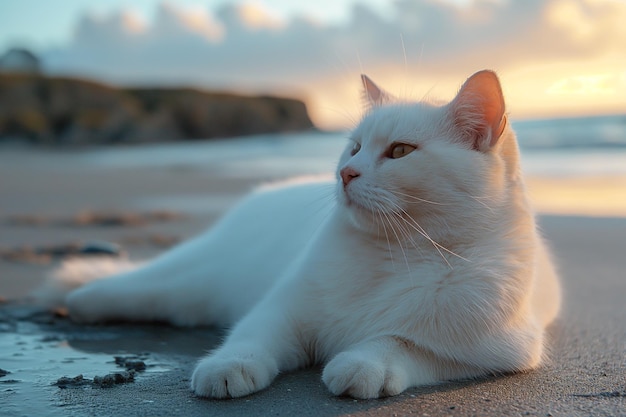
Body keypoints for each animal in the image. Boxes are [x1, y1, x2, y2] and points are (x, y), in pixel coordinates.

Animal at [40, 70, 560, 398]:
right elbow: (255, 335)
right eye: (353, 147)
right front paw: (229, 368)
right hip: (190, 279)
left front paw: (363, 366)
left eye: (400, 151)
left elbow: (401, 344)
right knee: (139, 286)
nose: (346, 173)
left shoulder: (492, 351)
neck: (394, 255)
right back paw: (76, 301)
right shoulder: (286, 309)